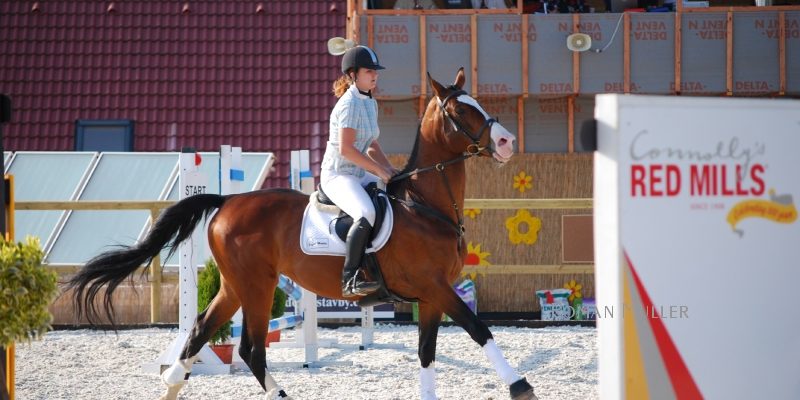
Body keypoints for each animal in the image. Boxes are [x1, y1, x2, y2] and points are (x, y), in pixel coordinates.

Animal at [68, 68, 538, 400]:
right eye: (461, 112)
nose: (507, 142)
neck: (426, 206)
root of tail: (227, 201)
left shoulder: (430, 297)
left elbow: (427, 354)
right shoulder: (435, 287)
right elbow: (479, 330)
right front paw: (520, 385)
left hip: (235, 286)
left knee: (200, 332)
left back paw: (171, 389)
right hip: (257, 286)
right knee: (249, 349)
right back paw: (278, 394)